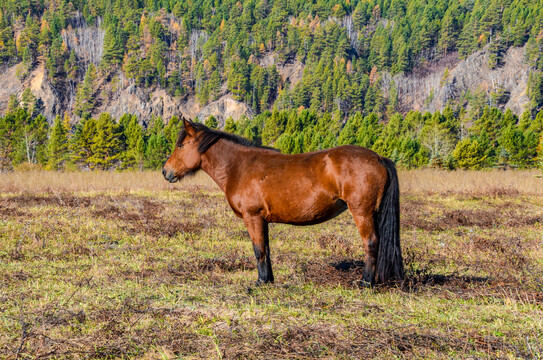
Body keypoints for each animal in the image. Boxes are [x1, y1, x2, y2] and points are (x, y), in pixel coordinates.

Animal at [162, 118, 404, 286]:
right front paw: (268, 280)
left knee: (371, 243)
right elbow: (266, 249)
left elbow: (258, 249)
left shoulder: (253, 217)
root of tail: (379, 158)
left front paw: (260, 282)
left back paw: (365, 282)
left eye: (181, 145)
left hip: (362, 212)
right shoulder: (262, 220)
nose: (166, 171)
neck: (239, 167)